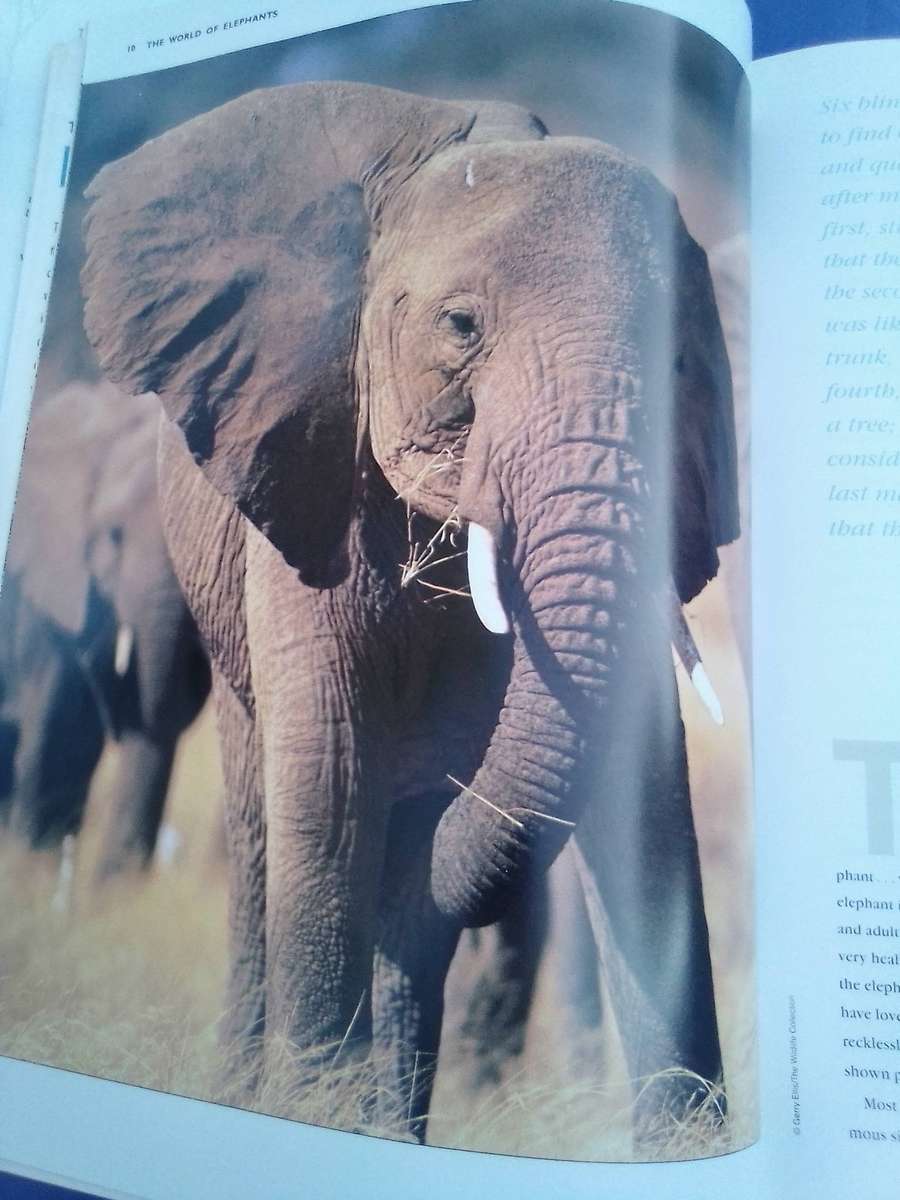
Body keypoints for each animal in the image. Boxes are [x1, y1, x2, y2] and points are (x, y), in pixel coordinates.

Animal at [79, 81, 739, 1147]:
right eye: (461, 325)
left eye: (681, 360)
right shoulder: (308, 477)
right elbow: (333, 778)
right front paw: (314, 1119)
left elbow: (645, 814)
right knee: (273, 842)